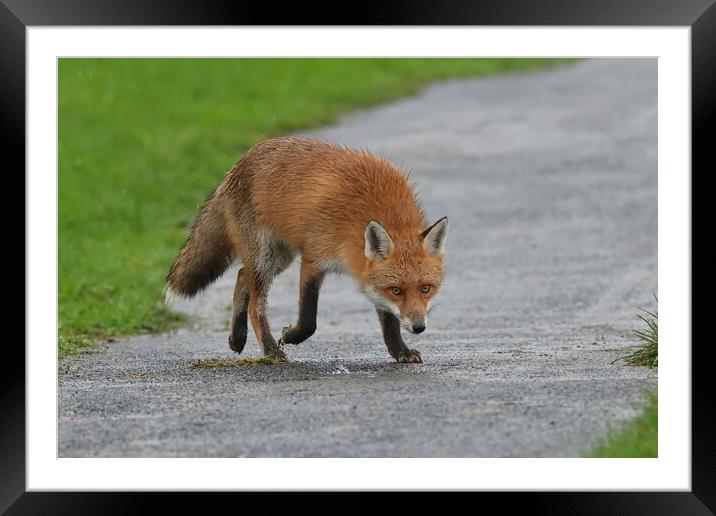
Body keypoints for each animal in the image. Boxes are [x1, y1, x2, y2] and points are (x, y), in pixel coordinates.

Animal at [166, 137, 448, 362]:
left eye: (426, 288)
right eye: (397, 290)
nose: (419, 327)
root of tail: (239, 164)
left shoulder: (368, 276)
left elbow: (389, 320)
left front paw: (400, 350)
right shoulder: (314, 258)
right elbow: (309, 318)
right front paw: (291, 336)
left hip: (279, 257)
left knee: (241, 275)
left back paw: (237, 338)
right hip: (266, 256)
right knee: (256, 306)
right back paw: (271, 350)